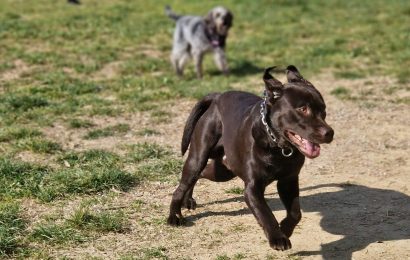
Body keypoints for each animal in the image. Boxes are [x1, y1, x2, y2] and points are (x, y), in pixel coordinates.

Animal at [168, 65, 334, 250]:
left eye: (323, 110)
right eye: (302, 109)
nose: (329, 133)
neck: (277, 146)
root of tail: (218, 96)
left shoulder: (288, 181)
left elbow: (295, 212)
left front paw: (285, 228)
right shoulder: (253, 188)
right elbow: (265, 213)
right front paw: (278, 237)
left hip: (223, 172)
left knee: (200, 174)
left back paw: (187, 200)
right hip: (199, 157)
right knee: (183, 185)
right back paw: (175, 216)